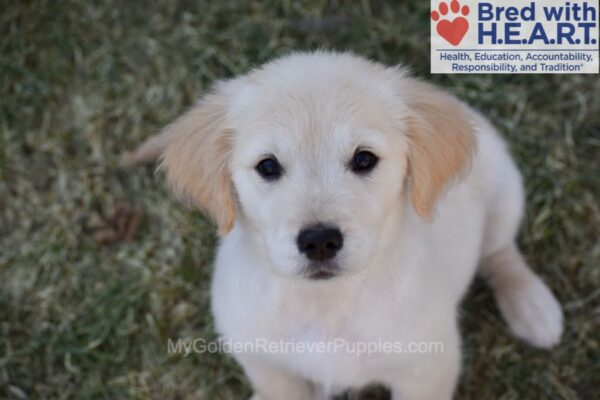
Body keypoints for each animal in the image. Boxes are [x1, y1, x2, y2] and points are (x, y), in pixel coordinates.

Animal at [125, 51, 564, 398]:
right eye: (267, 166)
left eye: (364, 159)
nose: (319, 241)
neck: (326, 303)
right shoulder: (266, 364)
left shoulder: (427, 368)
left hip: (503, 186)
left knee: (499, 252)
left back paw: (531, 305)